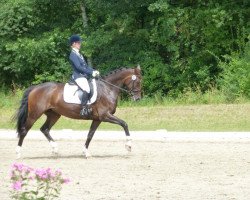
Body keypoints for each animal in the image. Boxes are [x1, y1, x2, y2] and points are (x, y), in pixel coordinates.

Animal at [14, 65, 143, 158]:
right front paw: (129, 146)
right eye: (138, 82)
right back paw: (18, 153)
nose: (138, 99)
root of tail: (35, 88)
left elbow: (90, 135)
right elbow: (124, 124)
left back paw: (55, 150)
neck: (108, 89)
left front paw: (86, 152)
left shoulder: (97, 119)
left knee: (44, 129)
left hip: (54, 115)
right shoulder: (105, 116)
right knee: (24, 131)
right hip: (34, 114)